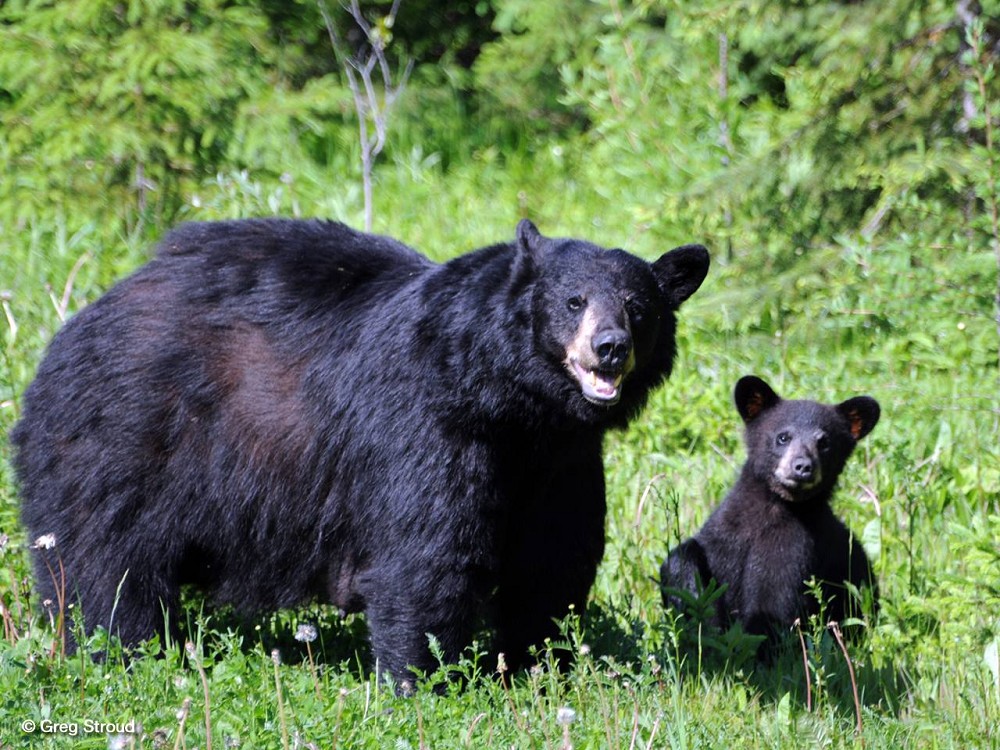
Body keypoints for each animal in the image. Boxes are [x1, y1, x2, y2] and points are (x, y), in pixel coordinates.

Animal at [11, 217, 708, 680]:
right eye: (572, 301)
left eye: (638, 306)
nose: (610, 347)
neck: (512, 405)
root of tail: (79, 321)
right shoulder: (424, 427)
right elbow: (425, 555)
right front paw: (426, 681)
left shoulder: (560, 460)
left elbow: (553, 558)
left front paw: (538, 665)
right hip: (122, 437)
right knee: (103, 562)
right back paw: (119, 652)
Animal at [660, 374, 880, 652]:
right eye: (783, 437)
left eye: (824, 442)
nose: (803, 467)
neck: (771, 509)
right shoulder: (726, 531)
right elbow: (690, 556)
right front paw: (692, 598)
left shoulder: (796, 547)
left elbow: (772, 608)